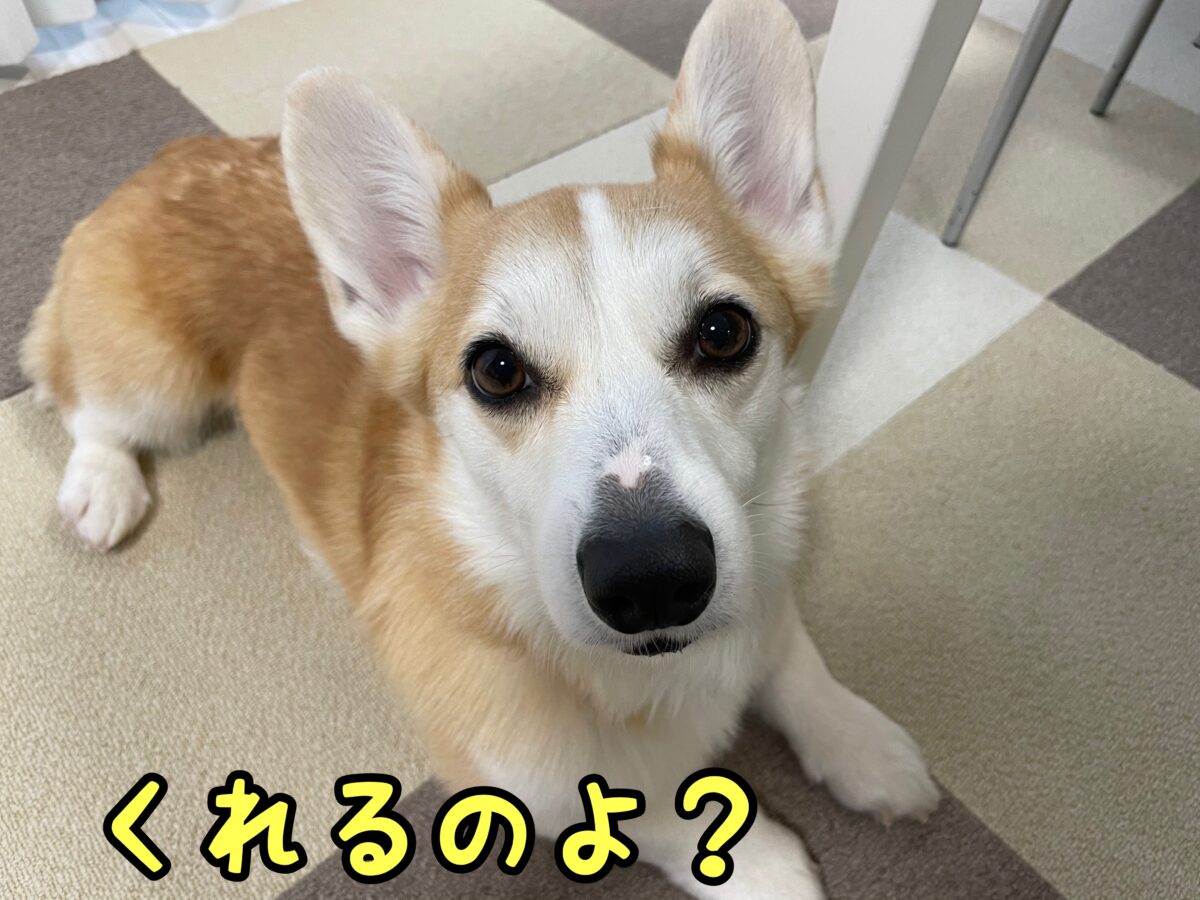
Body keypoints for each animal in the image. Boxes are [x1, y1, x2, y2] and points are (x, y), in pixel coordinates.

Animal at [22, 0, 938, 893]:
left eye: (723, 332)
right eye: (497, 371)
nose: (650, 580)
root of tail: (175, 153)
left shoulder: (762, 573)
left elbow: (794, 659)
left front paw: (863, 745)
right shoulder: (517, 768)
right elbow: (648, 809)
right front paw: (764, 866)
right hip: (158, 384)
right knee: (85, 405)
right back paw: (101, 489)